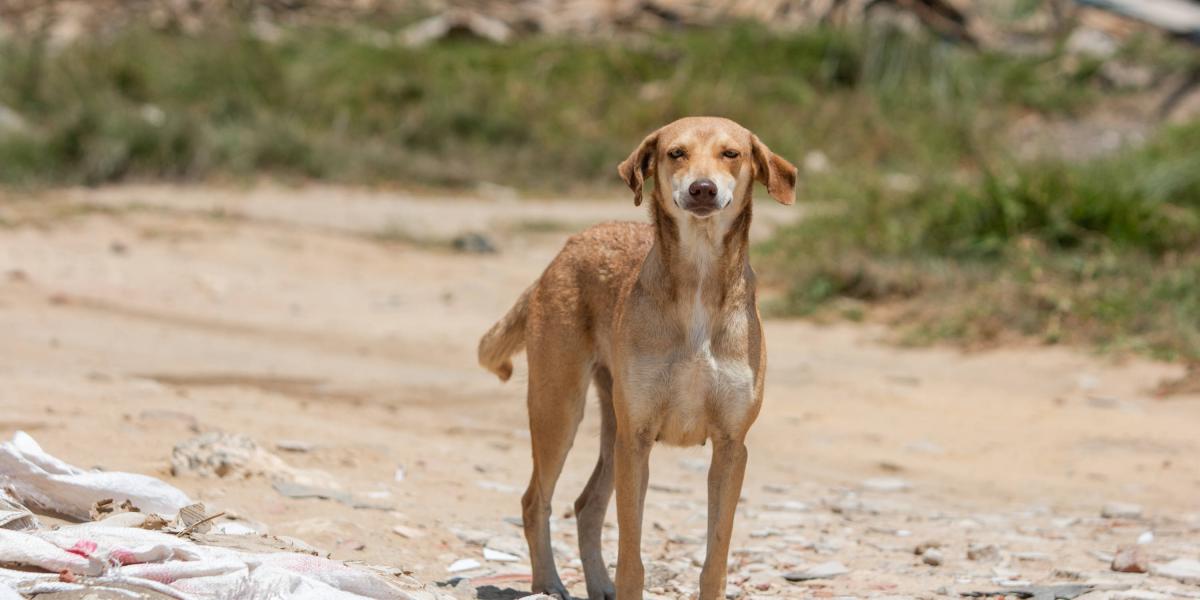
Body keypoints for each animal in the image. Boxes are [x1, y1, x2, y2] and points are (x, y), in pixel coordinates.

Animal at [477, 117, 796, 600]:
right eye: (676, 153)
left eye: (731, 154)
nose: (702, 189)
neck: (698, 277)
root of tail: (569, 245)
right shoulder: (638, 439)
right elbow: (631, 555)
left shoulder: (730, 447)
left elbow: (715, 556)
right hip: (561, 412)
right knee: (536, 501)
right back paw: (549, 583)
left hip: (611, 432)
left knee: (586, 505)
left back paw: (596, 584)